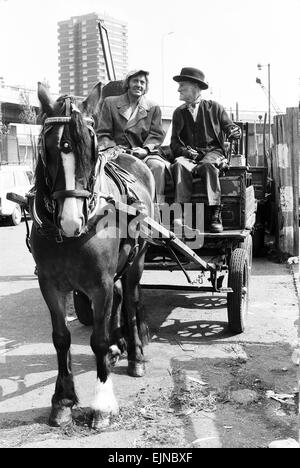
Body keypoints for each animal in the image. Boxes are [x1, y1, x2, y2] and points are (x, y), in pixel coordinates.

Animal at [31, 82, 156, 430]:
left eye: (90, 147)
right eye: (48, 148)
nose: (70, 221)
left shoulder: (99, 283)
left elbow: (97, 340)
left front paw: (102, 404)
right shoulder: (50, 284)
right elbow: (61, 337)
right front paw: (62, 400)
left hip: (137, 260)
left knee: (130, 299)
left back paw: (135, 354)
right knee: (119, 298)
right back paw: (118, 344)